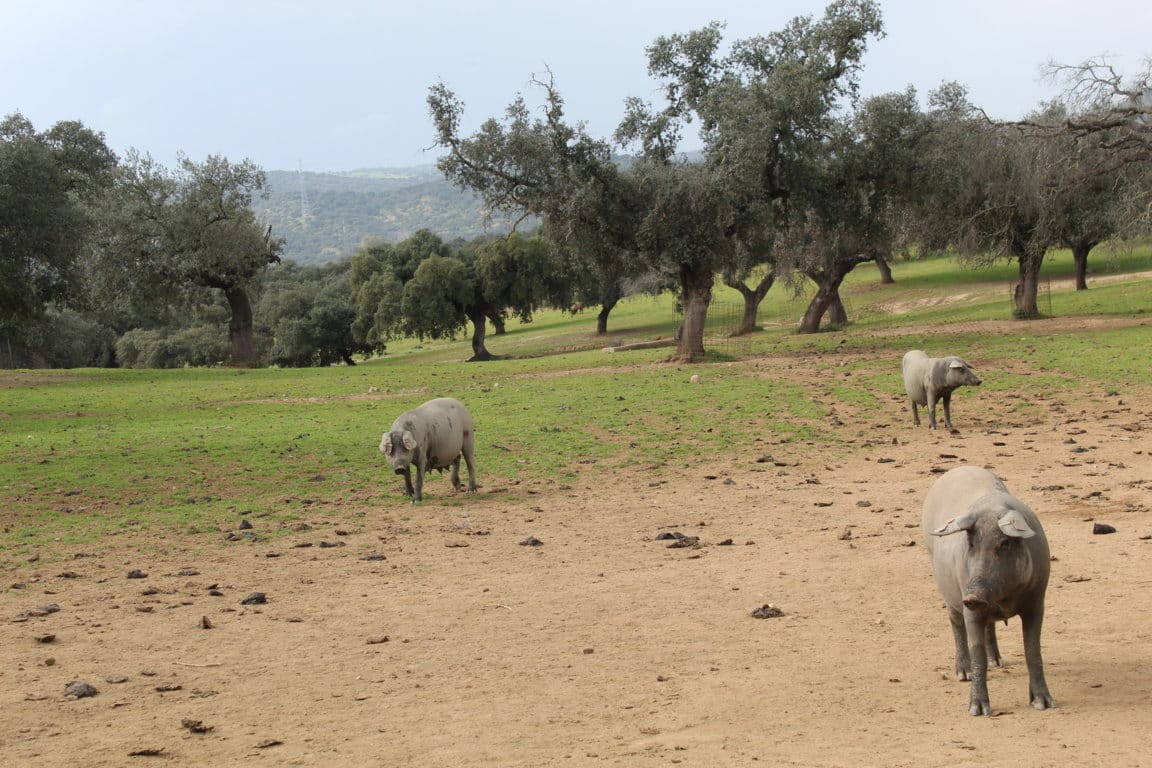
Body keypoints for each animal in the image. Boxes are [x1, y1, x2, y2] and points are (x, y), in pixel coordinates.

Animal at [921, 465, 1055, 718]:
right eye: (971, 543)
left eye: (1004, 543)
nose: (973, 596)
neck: (1004, 599)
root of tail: (957, 469)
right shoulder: (969, 608)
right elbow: (978, 655)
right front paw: (978, 711)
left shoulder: (1037, 601)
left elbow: (1033, 651)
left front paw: (1044, 704)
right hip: (947, 591)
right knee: (955, 624)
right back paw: (963, 674)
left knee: (990, 627)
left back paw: (997, 662)